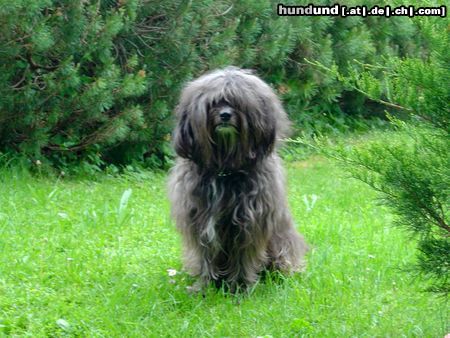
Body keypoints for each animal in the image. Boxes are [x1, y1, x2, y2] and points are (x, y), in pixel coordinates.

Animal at [167, 67, 308, 292]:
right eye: (214, 102)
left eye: (238, 102)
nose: (225, 115)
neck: (224, 169)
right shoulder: (199, 223)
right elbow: (205, 258)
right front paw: (204, 287)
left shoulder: (248, 225)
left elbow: (243, 258)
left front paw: (239, 288)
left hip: (282, 244)